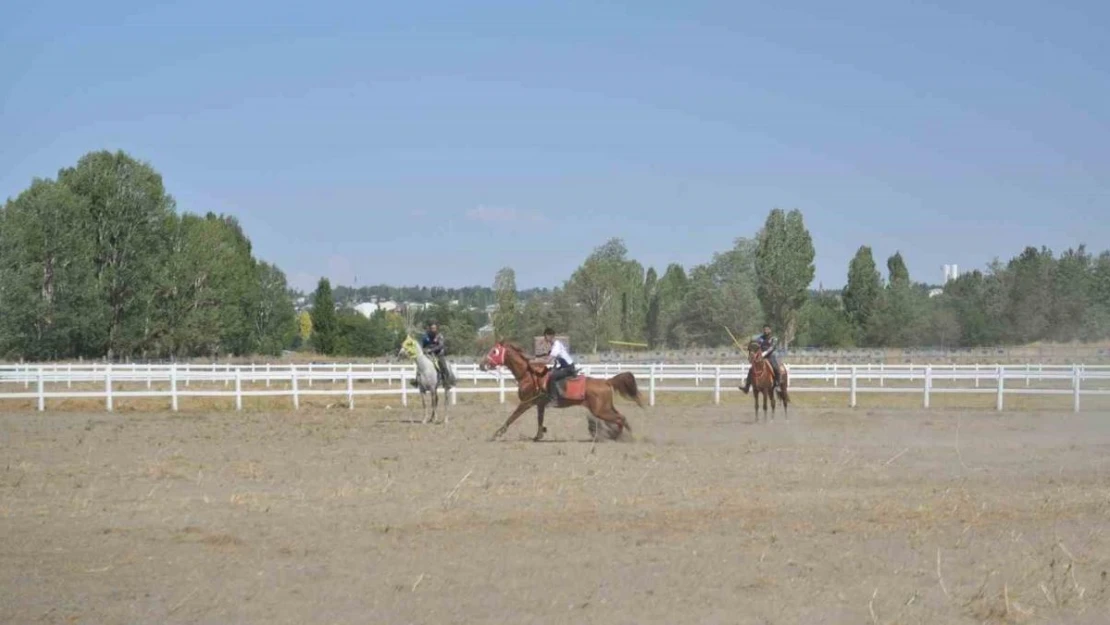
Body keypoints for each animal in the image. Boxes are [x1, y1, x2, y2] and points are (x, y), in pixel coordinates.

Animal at [477, 344, 643, 441]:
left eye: (494, 351)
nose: (481, 365)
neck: (529, 376)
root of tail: (606, 381)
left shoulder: (526, 403)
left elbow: (512, 417)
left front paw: (497, 433)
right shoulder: (539, 404)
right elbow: (540, 420)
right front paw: (538, 435)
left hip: (600, 410)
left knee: (621, 418)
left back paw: (619, 436)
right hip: (606, 408)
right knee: (620, 417)